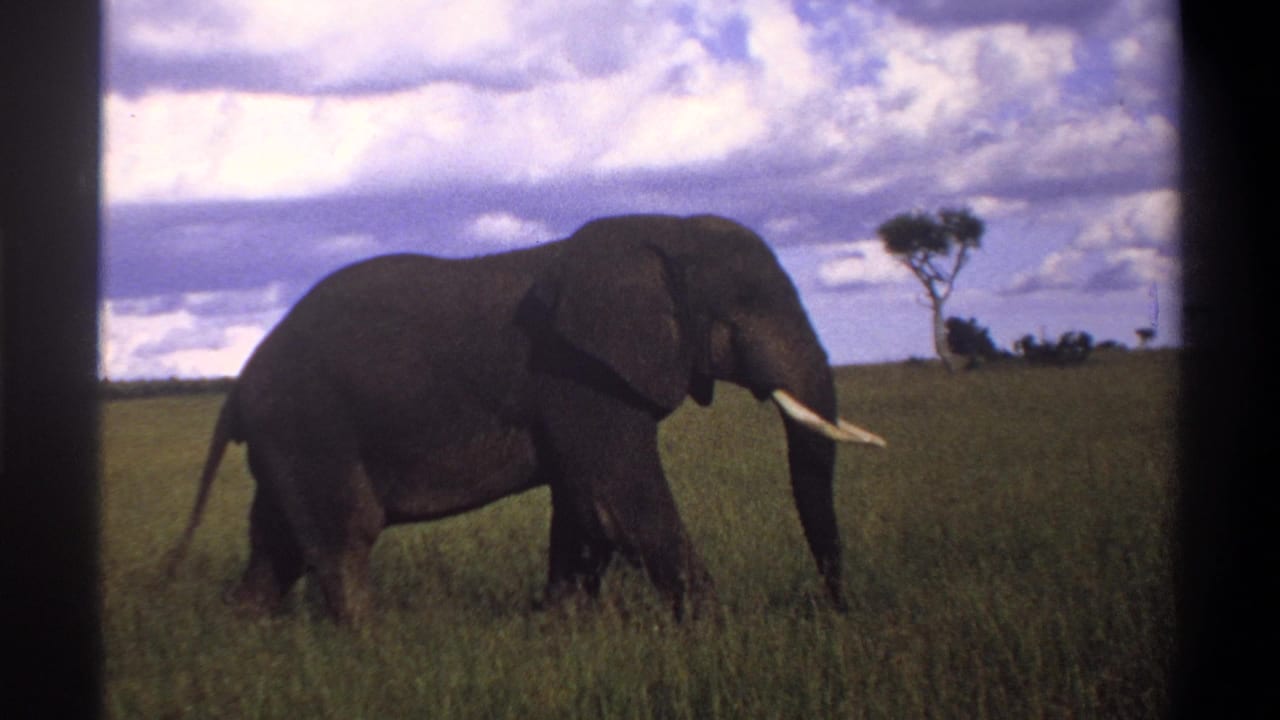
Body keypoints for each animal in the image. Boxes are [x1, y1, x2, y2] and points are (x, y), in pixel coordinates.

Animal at [166, 213, 886, 625]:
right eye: (746, 309)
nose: (835, 610)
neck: (657, 233)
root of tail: (239, 384)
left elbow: (585, 509)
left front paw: (558, 631)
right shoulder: (579, 371)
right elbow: (622, 503)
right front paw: (719, 632)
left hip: (289, 436)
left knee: (277, 543)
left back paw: (244, 634)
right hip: (311, 421)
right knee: (344, 536)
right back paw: (366, 645)